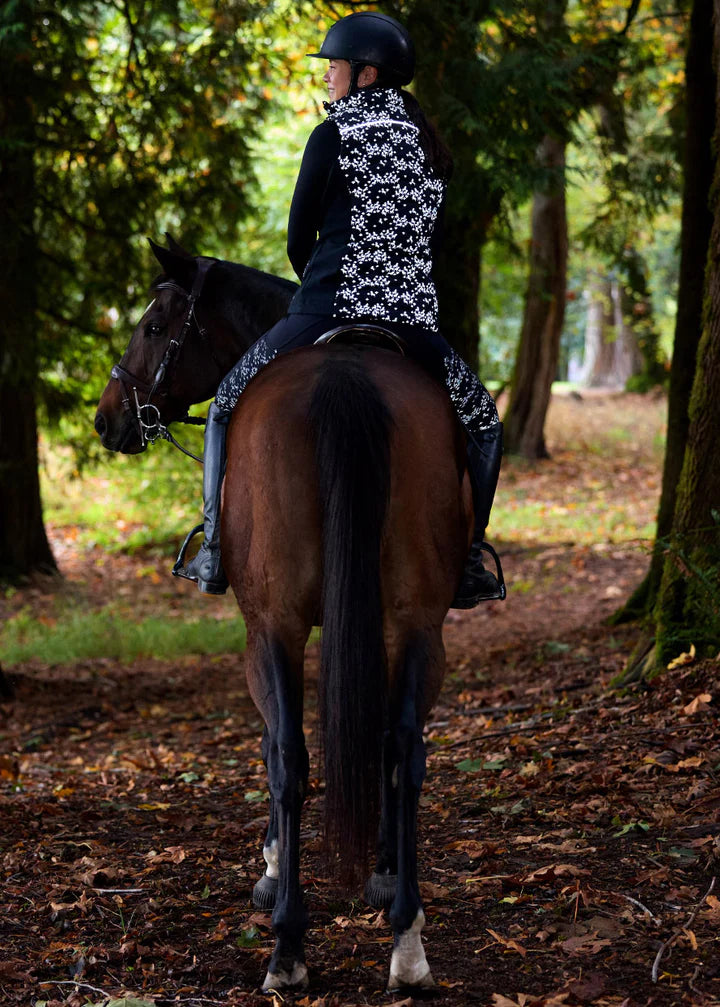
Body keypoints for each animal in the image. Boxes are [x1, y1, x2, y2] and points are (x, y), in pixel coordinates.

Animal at [95, 239, 474, 992]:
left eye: (153, 325)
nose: (107, 416)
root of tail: (348, 373)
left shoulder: (262, 631)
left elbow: (276, 745)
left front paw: (272, 869)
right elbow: (377, 736)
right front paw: (381, 870)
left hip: (275, 625)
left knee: (291, 759)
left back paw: (288, 943)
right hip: (418, 621)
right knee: (404, 748)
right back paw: (407, 939)